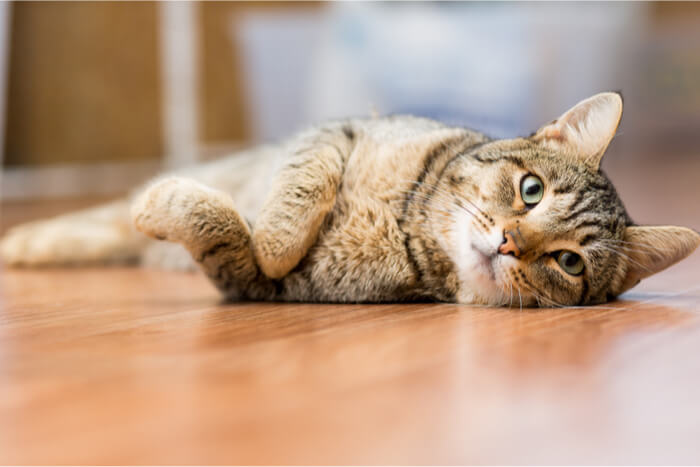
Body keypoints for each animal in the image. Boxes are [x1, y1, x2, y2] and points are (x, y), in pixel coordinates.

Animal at [1, 93, 700, 308]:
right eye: (531, 190)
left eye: (570, 263)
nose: (508, 242)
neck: (410, 223)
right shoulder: (335, 133)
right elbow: (300, 192)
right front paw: (278, 235)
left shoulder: (255, 284)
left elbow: (230, 233)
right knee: (99, 220)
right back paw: (25, 242)